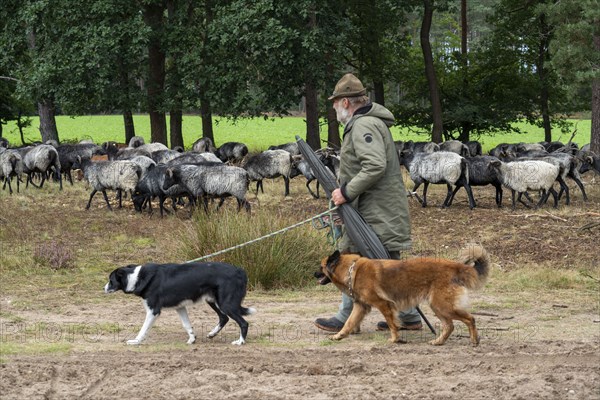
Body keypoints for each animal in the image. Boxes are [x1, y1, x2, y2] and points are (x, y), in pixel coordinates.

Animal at [316, 245, 490, 346]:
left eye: (321, 267)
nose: (313, 274)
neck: (352, 271)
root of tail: (456, 266)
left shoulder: (384, 305)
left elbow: (392, 324)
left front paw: (395, 339)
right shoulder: (360, 306)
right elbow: (348, 323)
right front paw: (338, 336)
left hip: (442, 306)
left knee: (470, 319)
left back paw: (474, 340)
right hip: (438, 306)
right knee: (450, 326)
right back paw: (438, 341)